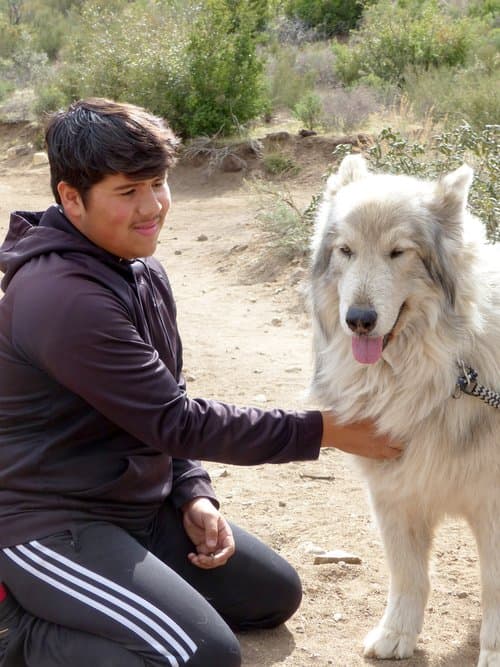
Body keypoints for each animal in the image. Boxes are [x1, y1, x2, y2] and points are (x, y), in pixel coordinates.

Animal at [308, 154, 500, 665]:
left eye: (398, 252)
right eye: (346, 251)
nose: (359, 320)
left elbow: (494, 589)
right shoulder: (395, 494)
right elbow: (408, 575)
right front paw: (396, 636)